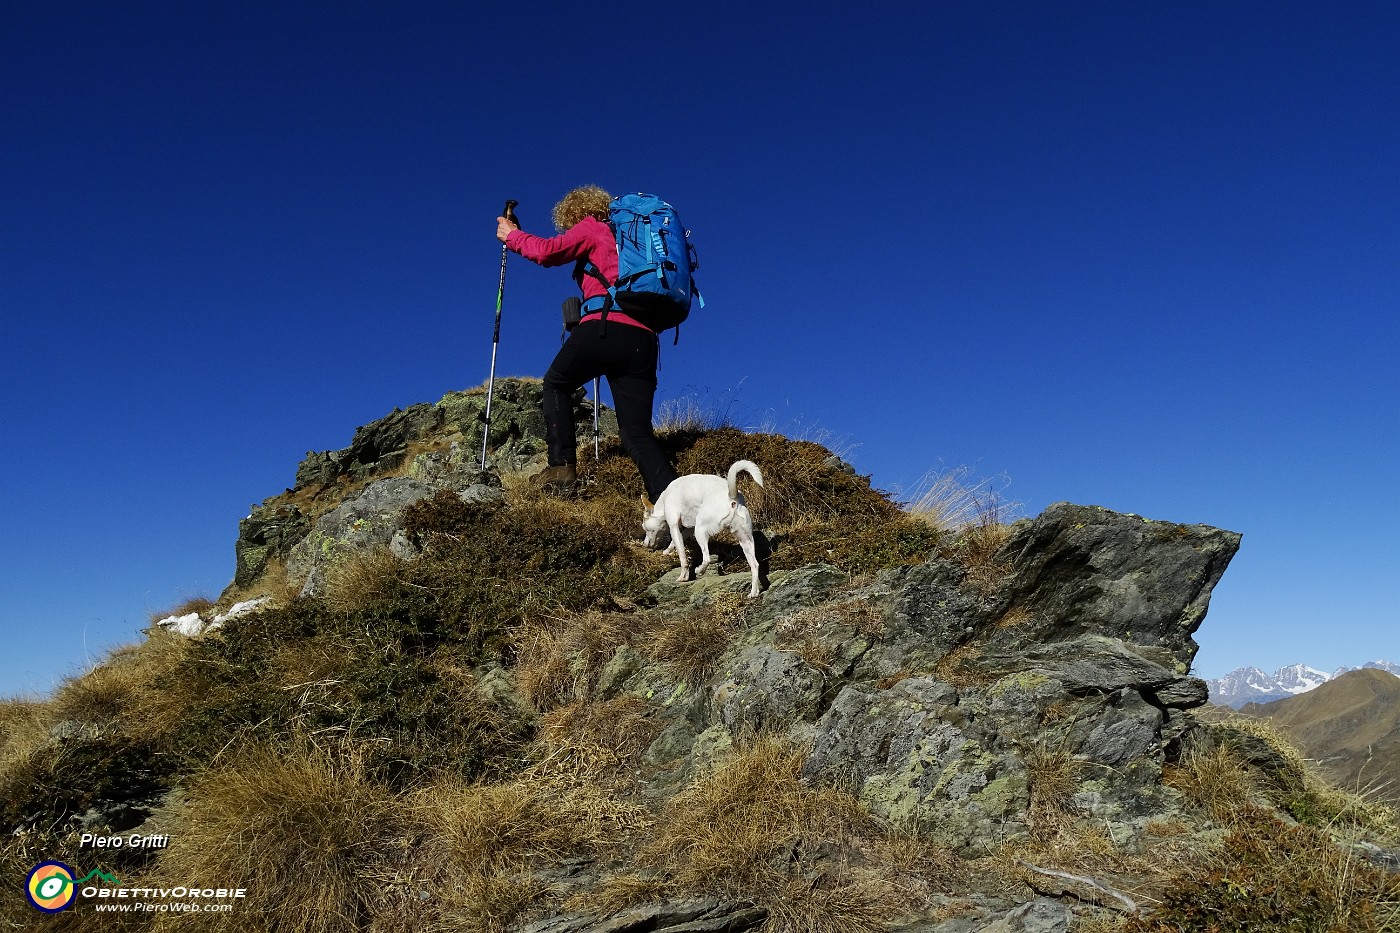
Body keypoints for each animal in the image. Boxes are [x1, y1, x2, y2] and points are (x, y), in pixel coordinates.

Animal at [644, 456, 767, 596]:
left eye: (646, 529)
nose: (644, 544)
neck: (663, 500)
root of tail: (732, 497)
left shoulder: (674, 526)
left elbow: (682, 557)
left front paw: (683, 577)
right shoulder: (689, 529)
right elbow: (675, 542)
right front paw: (667, 551)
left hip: (700, 531)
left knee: (707, 558)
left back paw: (699, 570)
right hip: (745, 540)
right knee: (755, 565)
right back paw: (754, 593)